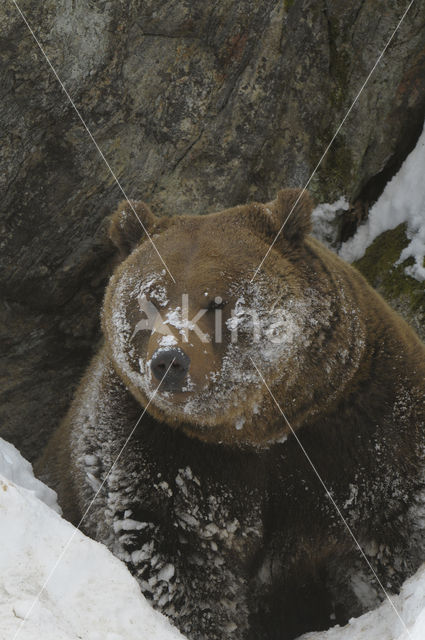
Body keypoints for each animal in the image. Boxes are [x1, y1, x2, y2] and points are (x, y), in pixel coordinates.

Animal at [37, 190, 424, 640]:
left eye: (217, 300)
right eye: (151, 299)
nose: (169, 360)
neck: (254, 429)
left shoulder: (363, 423)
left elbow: (392, 527)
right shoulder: (153, 449)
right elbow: (175, 560)